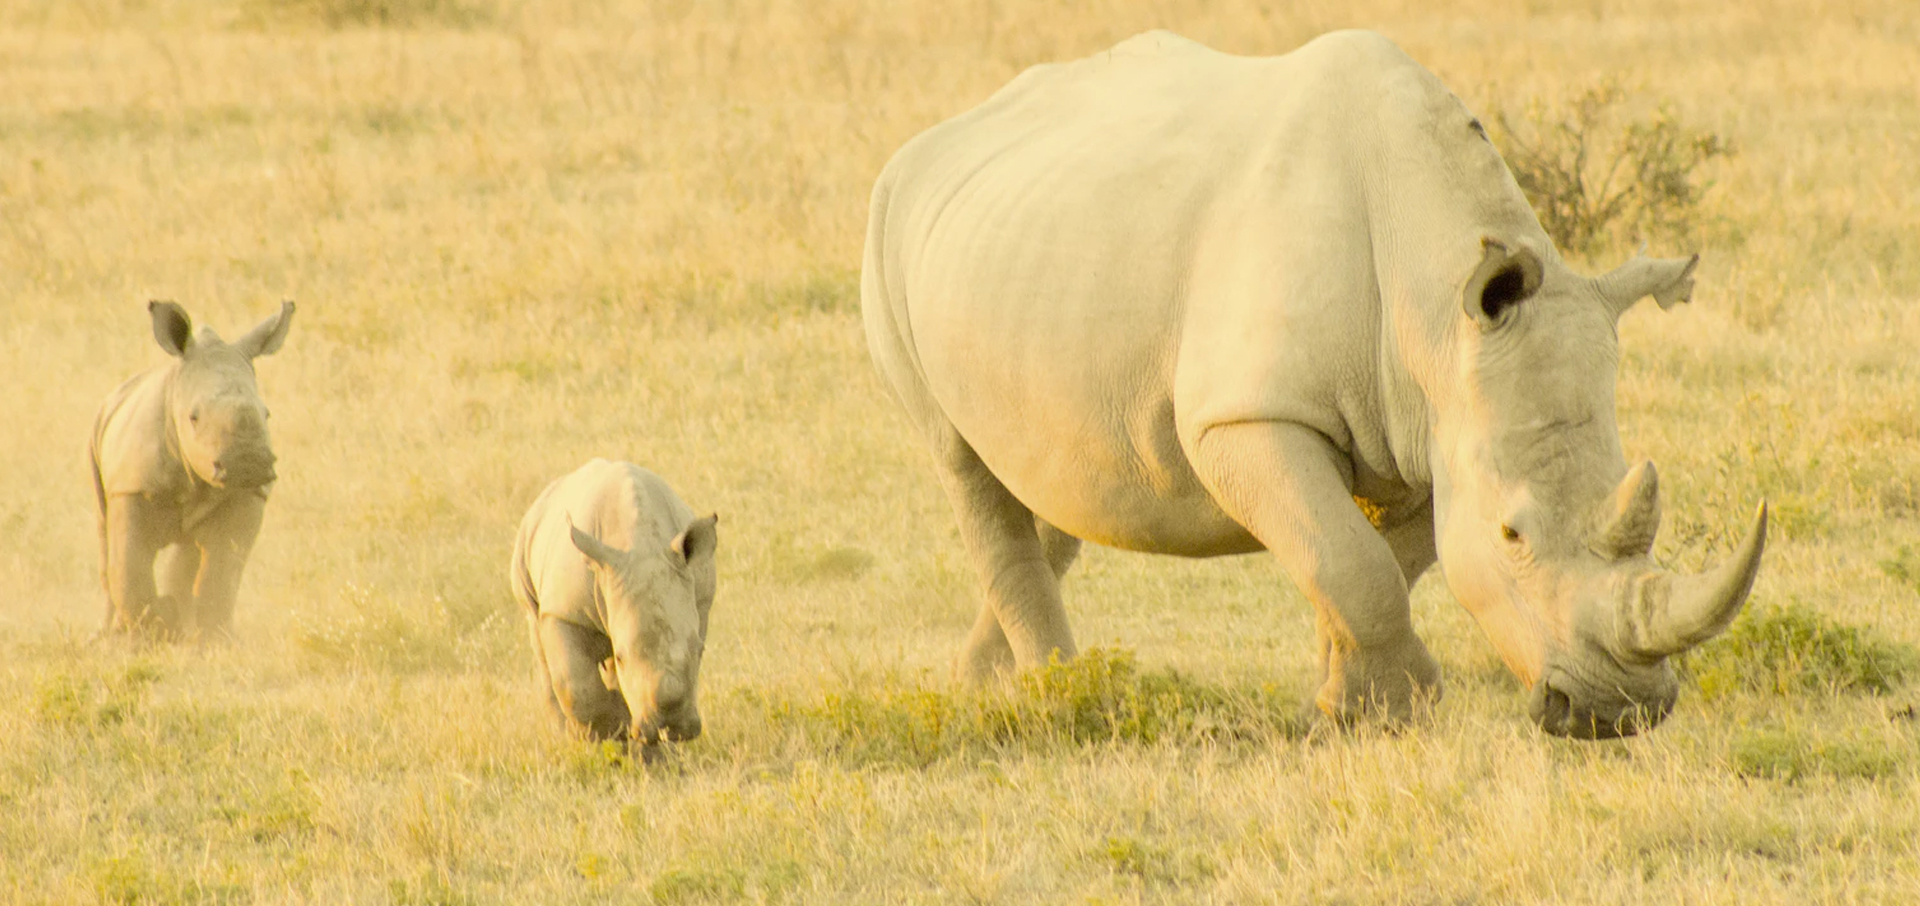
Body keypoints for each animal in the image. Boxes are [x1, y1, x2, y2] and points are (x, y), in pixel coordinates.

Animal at [90, 300, 294, 641]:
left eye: (267, 414)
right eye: (193, 417)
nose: (247, 463)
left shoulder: (247, 496)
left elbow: (221, 571)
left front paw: (210, 639)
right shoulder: (131, 485)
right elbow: (131, 565)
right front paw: (147, 636)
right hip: (98, 435)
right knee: (105, 534)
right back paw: (109, 634)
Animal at [511, 459, 718, 752]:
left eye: (700, 651)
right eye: (621, 656)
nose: (673, 726)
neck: (640, 542)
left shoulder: (699, 603)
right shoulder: (563, 612)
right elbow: (576, 685)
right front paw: (608, 730)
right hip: (527, 552)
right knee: (540, 644)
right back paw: (570, 738)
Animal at [860, 30, 1767, 738]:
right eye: (1514, 534)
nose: (1618, 714)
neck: (1437, 307)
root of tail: (930, 140)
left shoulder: (1434, 430)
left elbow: (1371, 562)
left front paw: (1347, 708)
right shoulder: (1247, 416)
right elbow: (1351, 561)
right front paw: (1398, 707)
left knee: (1049, 479)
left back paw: (983, 685)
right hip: (885, 227)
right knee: (962, 463)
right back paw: (1063, 698)